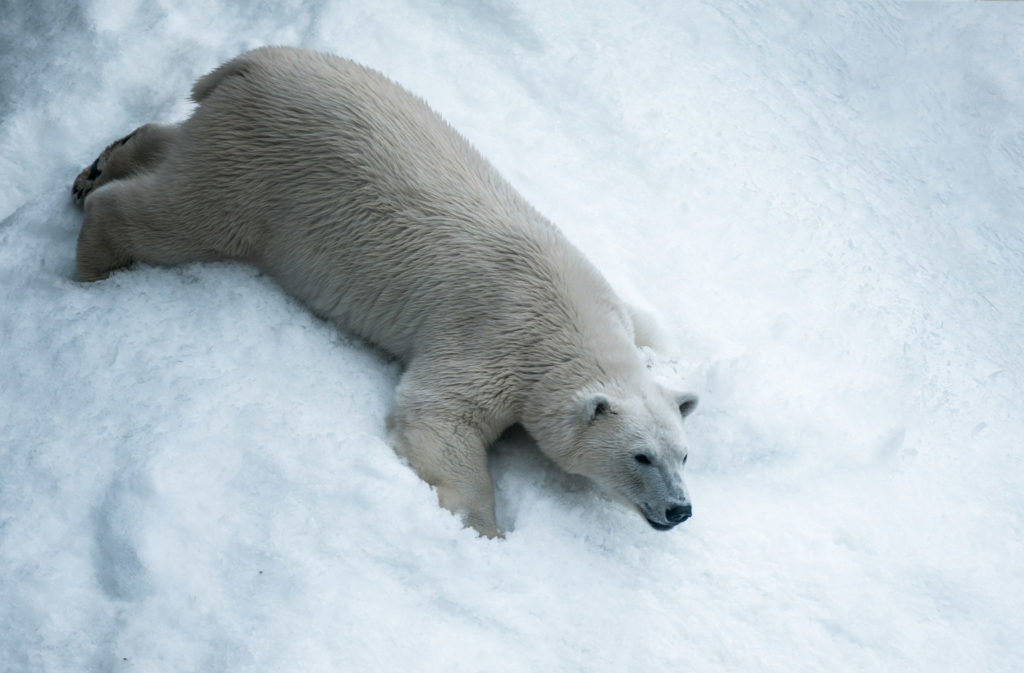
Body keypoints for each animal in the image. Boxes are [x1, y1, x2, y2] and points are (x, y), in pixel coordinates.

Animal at [70, 45, 696, 536]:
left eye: (684, 454)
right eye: (641, 456)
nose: (680, 509)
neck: (570, 319)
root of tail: (254, 61)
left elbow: (652, 326)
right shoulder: (496, 339)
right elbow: (438, 416)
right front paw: (482, 530)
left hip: (230, 134)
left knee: (171, 145)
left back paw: (98, 168)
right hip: (259, 171)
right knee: (179, 217)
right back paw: (93, 260)